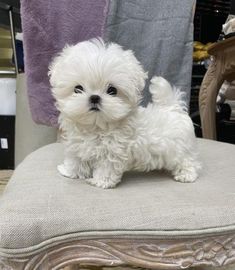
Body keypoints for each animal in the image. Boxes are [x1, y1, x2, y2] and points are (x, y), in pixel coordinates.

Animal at [49, 39, 200, 189]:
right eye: (77, 88)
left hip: (181, 149)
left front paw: (101, 181)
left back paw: (186, 175)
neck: (95, 126)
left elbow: (106, 167)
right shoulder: (76, 144)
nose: (94, 97)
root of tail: (173, 107)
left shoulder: (112, 151)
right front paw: (69, 171)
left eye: (112, 90)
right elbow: (75, 159)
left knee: (188, 161)